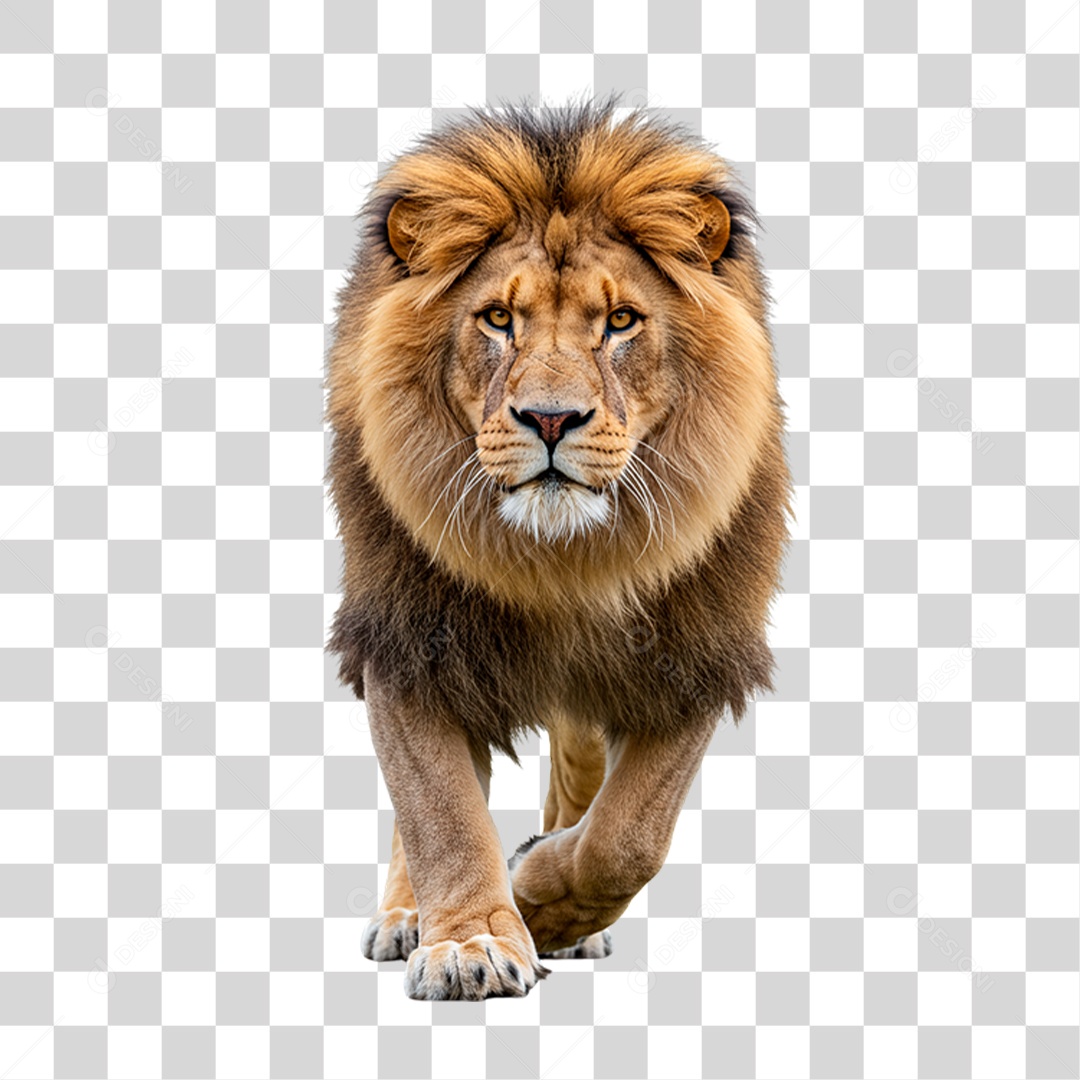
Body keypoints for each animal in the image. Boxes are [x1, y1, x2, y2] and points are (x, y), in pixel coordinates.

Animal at [327, 99, 791, 1001]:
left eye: (620, 322)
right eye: (498, 319)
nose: (550, 418)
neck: (560, 564)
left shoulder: (694, 651)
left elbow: (629, 837)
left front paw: (540, 898)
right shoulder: (410, 637)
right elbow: (438, 808)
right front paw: (469, 940)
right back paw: (407, 916)